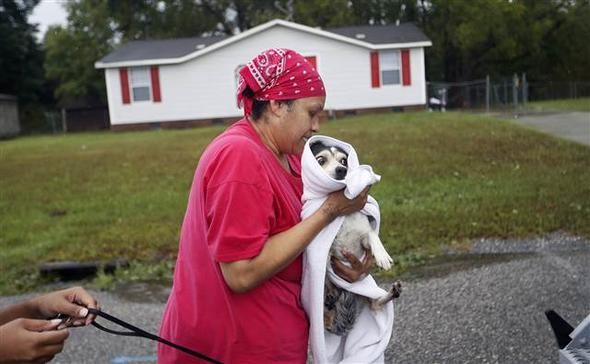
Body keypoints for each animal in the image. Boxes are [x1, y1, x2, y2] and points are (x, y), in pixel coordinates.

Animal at [302, 135, 396, 362]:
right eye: (320, 160)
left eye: (344, 161)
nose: (342, 170)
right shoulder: (329, 248)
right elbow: (326, 260)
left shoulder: (364, 235)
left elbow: (372, 235)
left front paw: (382, 256)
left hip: (367, 294)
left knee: (376, 303)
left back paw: (392, 293)